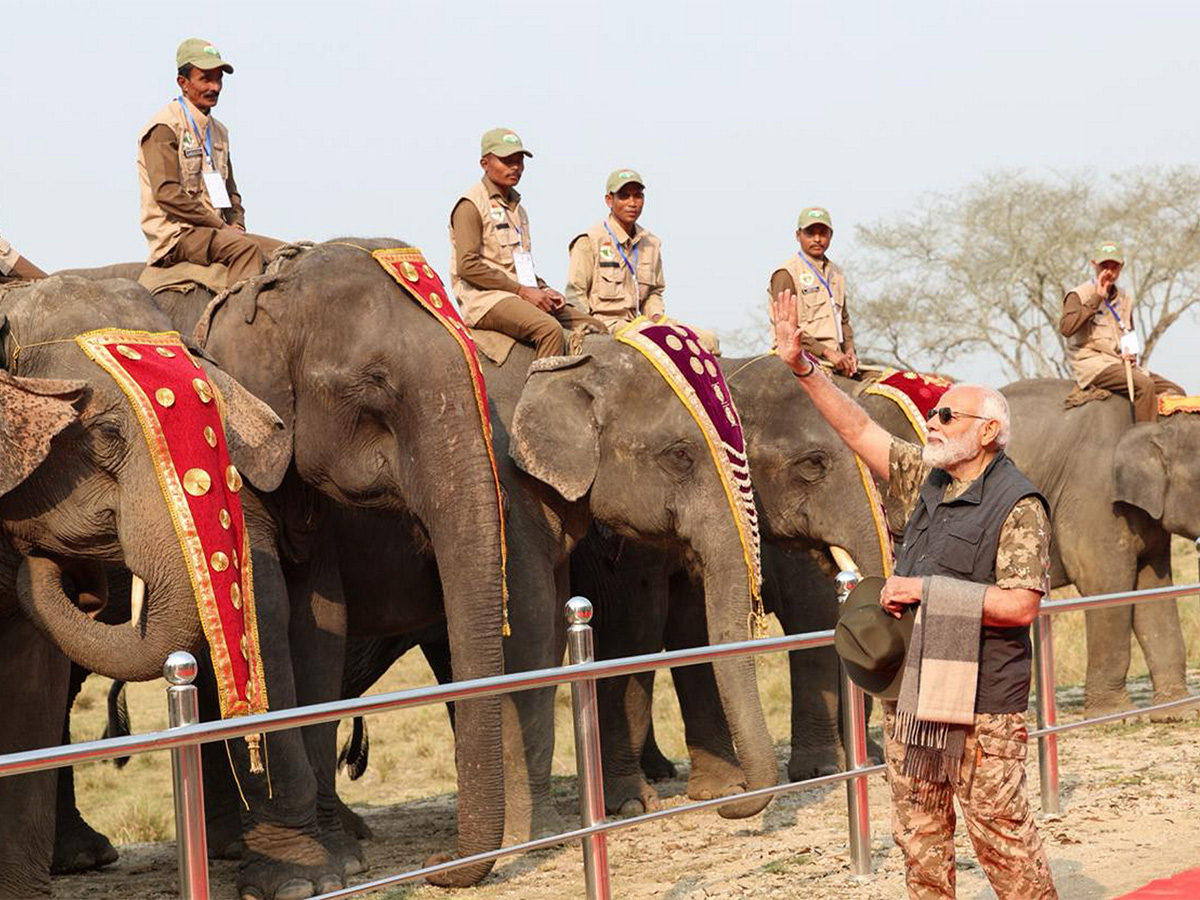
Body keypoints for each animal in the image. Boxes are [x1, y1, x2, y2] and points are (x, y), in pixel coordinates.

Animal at [57, 240, 511, 897]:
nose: (436, 865)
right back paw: (88, 858)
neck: (267, 279)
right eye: (375, 384)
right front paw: (298, 879)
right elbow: (263, 612)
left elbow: (320, 618)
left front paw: (343, 862)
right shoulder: (225, 450)